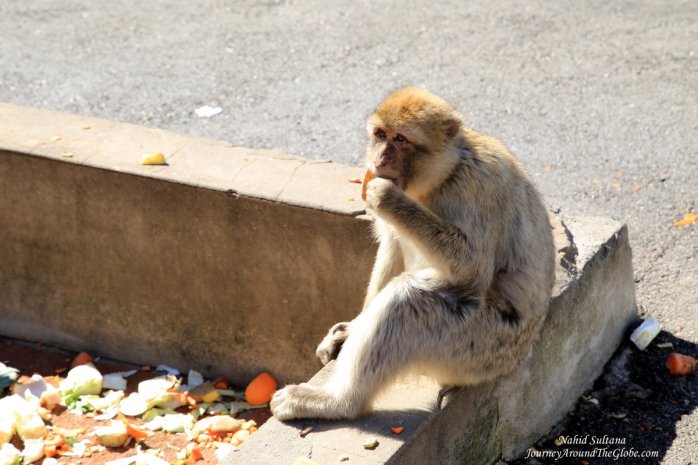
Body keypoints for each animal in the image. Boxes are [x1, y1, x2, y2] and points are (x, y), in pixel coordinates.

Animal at [270, 86, 556, 420]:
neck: (447, 171)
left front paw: (388, 198)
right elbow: (392, 249)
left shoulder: (473, 187)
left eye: (401, 139)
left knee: (408, 300)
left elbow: (473, 270)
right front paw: (352, 329)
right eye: (381, 134)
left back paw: (338, 402)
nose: (380, 158)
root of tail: (521, 357)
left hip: (479, 347)